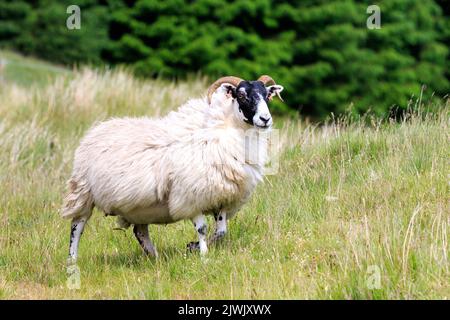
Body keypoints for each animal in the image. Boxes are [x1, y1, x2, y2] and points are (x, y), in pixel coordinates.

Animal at [61, 75, 284, 262]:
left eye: (267, 96)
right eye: (242, 95)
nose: (265, 119)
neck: (224, 129)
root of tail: (97, 129)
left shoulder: (221, 197)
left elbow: (221, 232)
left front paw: (193, 247)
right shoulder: (190, 196)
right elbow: (202, 228)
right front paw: (203, 254)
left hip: (140, 207)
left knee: (140, 232)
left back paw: (155, 258)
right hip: (83, 191)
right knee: (77, 225)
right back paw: (72, 259)